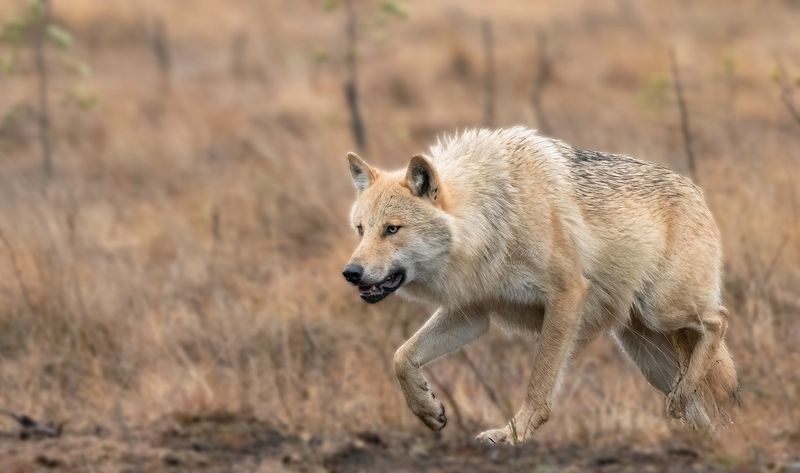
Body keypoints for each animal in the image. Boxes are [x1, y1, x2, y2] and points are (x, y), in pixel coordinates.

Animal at [342, 127, 738, 445]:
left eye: (392, 229)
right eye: (361, 230)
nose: (351, 272)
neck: (494, 218)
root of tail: (697, 192)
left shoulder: (566, 296)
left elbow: (539, 383)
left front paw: (511, 435)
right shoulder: (472, 314)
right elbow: (401, 357)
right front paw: (427, 409)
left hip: (662, 310)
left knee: (718, 320)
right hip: (648, 355)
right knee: (700, 409)